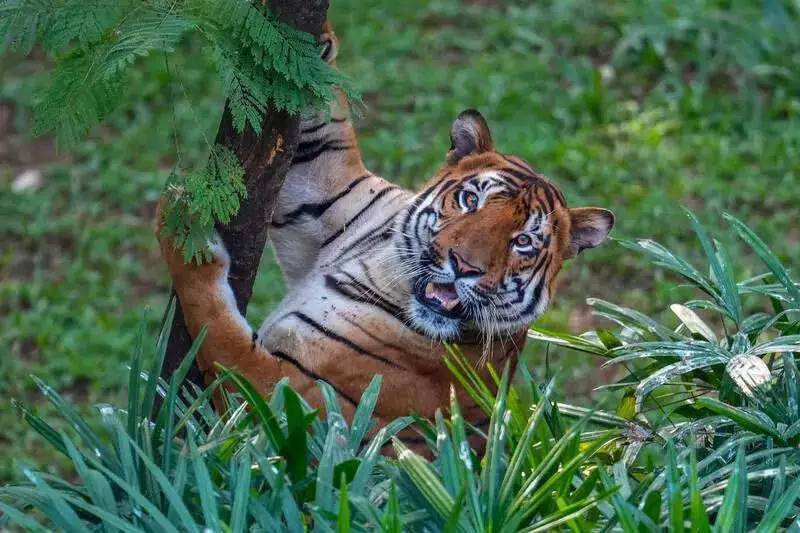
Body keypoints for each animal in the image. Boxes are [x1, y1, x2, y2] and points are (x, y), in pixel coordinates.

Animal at [156, 22, 614, 447]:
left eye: (523, 242)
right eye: (471, 200)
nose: (463, 266)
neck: (382, 266)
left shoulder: (293, 403)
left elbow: (214, 325)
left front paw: (182, 224)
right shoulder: (324, 193)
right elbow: (321, 129)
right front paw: (312, 40)